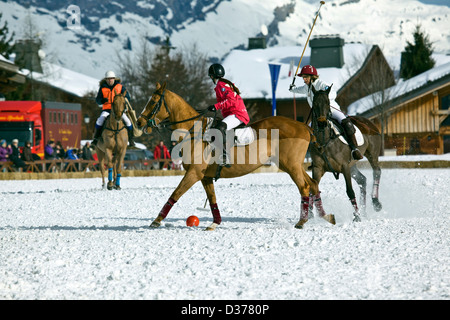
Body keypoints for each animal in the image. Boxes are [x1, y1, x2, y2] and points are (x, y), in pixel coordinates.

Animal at [134, 81, 334, 229]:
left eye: (153, 101)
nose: (139, 122)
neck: (193, 131)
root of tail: (305, 127)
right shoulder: (205, 176)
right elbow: (212, 200)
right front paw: (215, 223)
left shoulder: (194, 173)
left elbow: (175, 194)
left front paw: (156, 221)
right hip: (294, 165)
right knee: (313, 183)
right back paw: (326, 217)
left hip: (290, 165)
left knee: (304, 187)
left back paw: (302, 221)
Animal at [310, 85, 384, 222]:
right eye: (314, 103)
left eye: (327, 102)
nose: (322, 123)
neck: (324, 140)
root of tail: (370, 123)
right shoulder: (317, 168)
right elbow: (312, 189)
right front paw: (309, 215)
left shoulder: (344, 167)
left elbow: (350, 191)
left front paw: (357, 216)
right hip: (352, 165)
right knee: (362, 180)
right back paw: (364, 211)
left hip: (372, 154)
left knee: (377, 171)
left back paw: (375, 203)